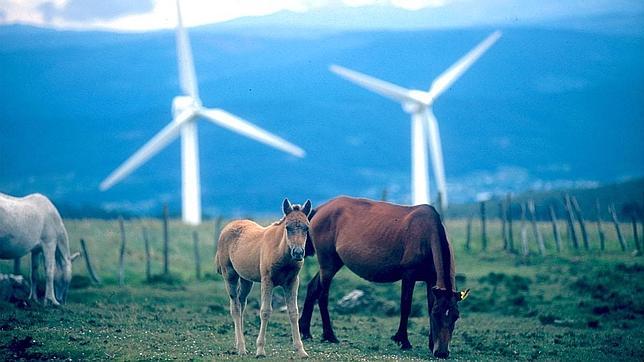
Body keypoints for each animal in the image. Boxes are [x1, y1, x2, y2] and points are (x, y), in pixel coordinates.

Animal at [215, 199, 314, 358]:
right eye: (287, 227)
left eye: (306, 227)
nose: (298, 253)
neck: (280, 251)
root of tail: (228, 227)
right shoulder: (267, 280)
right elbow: (265, 311)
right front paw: (260, 350)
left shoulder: (292, 281)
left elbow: (293, 312)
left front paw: (301, 350)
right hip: (229, 275)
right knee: (235, 307)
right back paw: (241, 348)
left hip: (246, 280)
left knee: (241, 303)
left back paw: (238, 344)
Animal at [300, 197, 470, 358]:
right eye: (437, 315)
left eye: (456, 316)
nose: (442, 353)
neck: (427, 235)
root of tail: (321, 208)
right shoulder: (409, 276)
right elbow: (406, 306)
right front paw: (403, 340)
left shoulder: (431, 281)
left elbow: (429, 305)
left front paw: (430, 344)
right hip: (327, 264)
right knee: (323, 296)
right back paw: (329, 335)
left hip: (334, 263)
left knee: (313, 287)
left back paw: (305, 331)